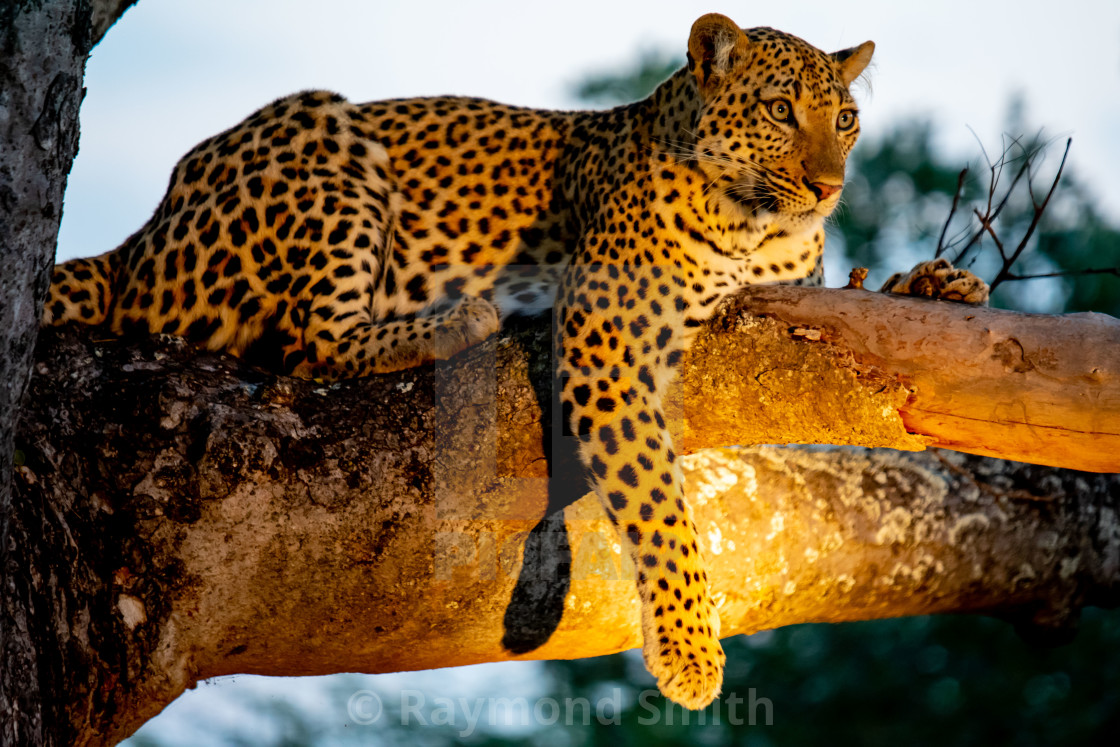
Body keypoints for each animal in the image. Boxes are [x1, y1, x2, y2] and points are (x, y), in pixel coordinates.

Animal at [43, 14, 990, 712]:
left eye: (846, 120)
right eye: (780, 111)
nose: (831, 188)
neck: (759, 228)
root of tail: (140, 235)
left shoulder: (803, 299)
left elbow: (867, 298)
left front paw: (938, 281)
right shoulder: (609, 339)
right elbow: (656, 497)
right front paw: (689, 649)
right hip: (323, 131)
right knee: (314, 335)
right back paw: (458, 316)